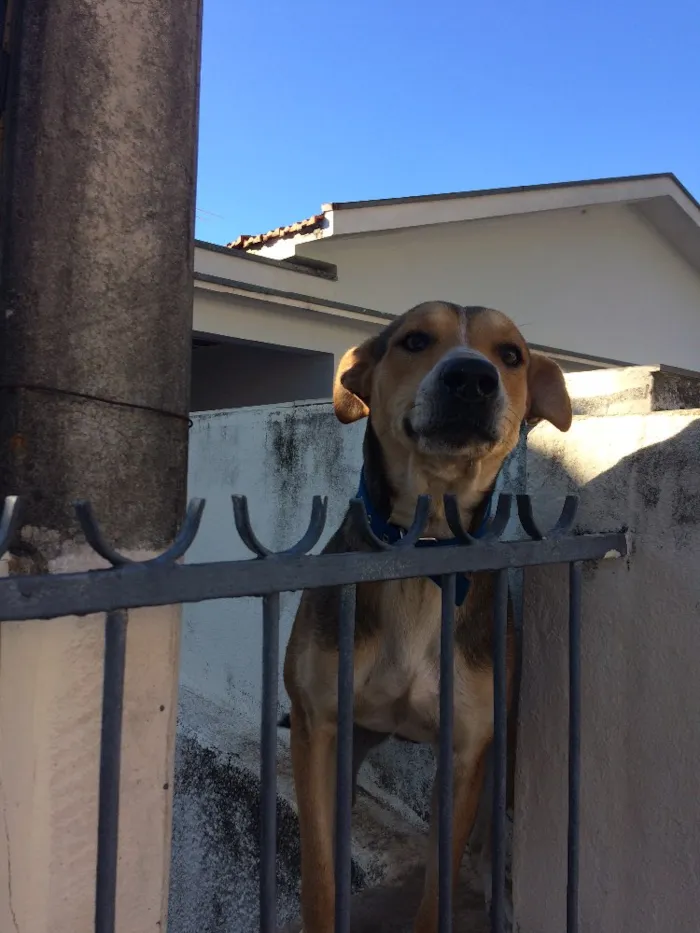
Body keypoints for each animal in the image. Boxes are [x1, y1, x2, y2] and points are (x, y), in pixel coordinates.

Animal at [282, 302, 572, 932]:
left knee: (488, 838)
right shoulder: (318, 726)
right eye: (414, 341)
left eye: (510, 354)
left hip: (503, 750)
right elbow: (319, 876)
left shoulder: (465, 752)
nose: (472, 378)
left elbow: (439, 891)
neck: (425, 547)